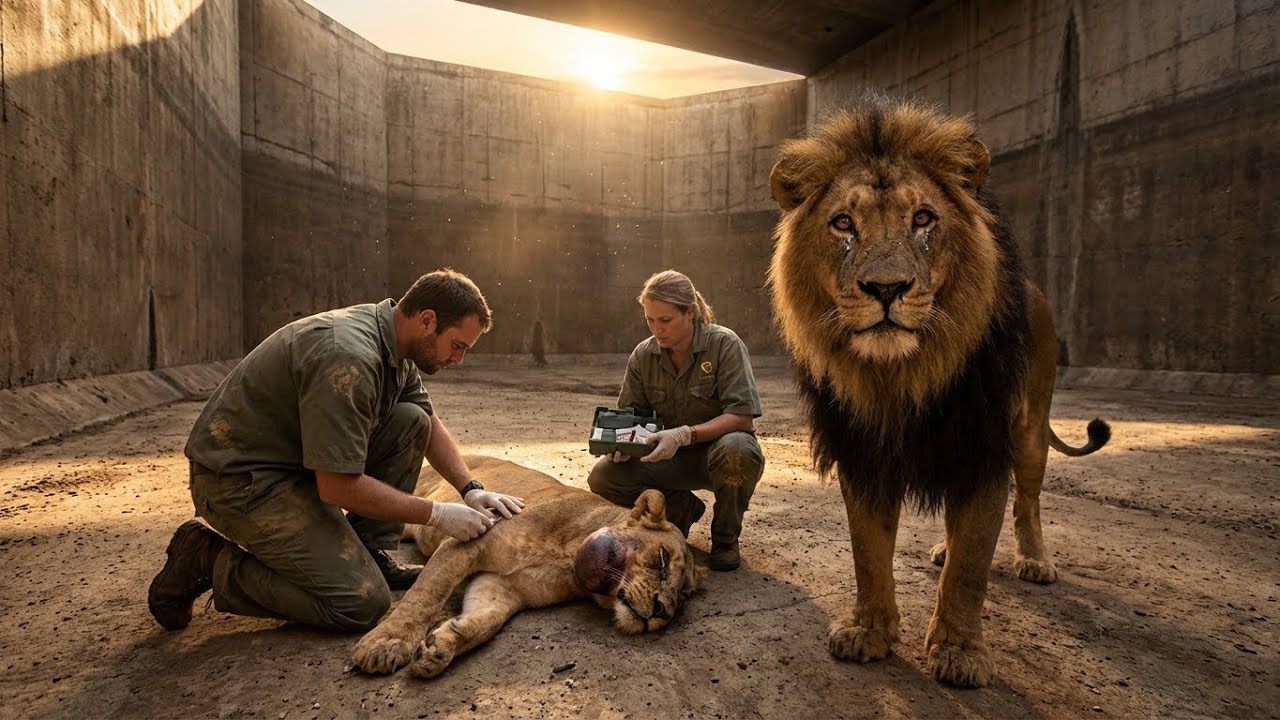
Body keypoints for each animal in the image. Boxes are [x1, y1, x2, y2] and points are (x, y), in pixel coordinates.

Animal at [351, 455, 706, 678]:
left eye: (683, 596)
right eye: (662, 559)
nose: (662, 612)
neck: (568, 562)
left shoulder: (500, 587)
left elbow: (486, 622)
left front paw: (441, 646)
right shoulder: (468, 541)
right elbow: (424, 597)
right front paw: (385, 644)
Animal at [767, 93, 1109, 688]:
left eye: (923, 218)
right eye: (843, 223)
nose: (885, 289)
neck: (902, 376)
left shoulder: (983, 445)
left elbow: (973, 564)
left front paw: (959, 653)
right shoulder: (862, 451)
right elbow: (869, 551)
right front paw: (869, 633)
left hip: (1028, 429)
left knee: (1028, 502)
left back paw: (1035, 561)